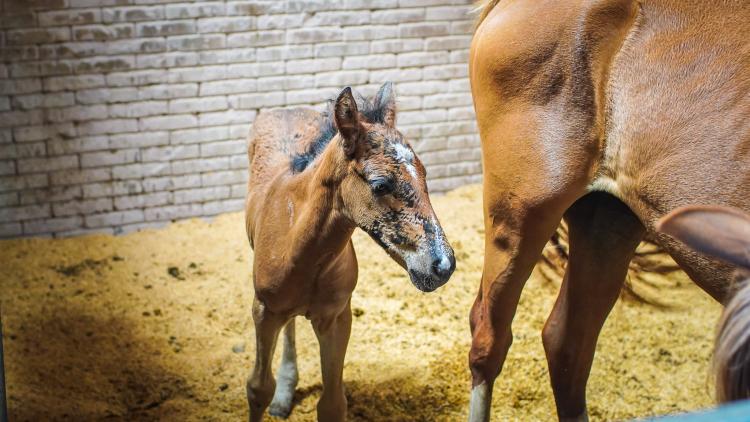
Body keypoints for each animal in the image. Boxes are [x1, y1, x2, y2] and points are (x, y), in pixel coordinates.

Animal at [248, 83, 458, 422]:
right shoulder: (264, 311)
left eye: (424, 173)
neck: (302, 252)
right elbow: (258, 388)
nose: (443, 265)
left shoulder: (336, 317)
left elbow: (333, 404)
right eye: (380, 184)